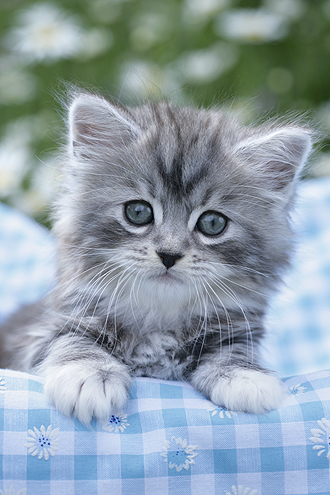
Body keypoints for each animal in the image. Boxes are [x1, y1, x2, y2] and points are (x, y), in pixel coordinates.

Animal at [0, 94, 314, 426]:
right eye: (138, 212)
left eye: (213, 223)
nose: (169, 254)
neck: (159, 321)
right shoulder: (45, 330)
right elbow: (70, 339)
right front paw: (87, 376)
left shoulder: (235, 329)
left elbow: (234, 350)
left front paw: (244, 376)